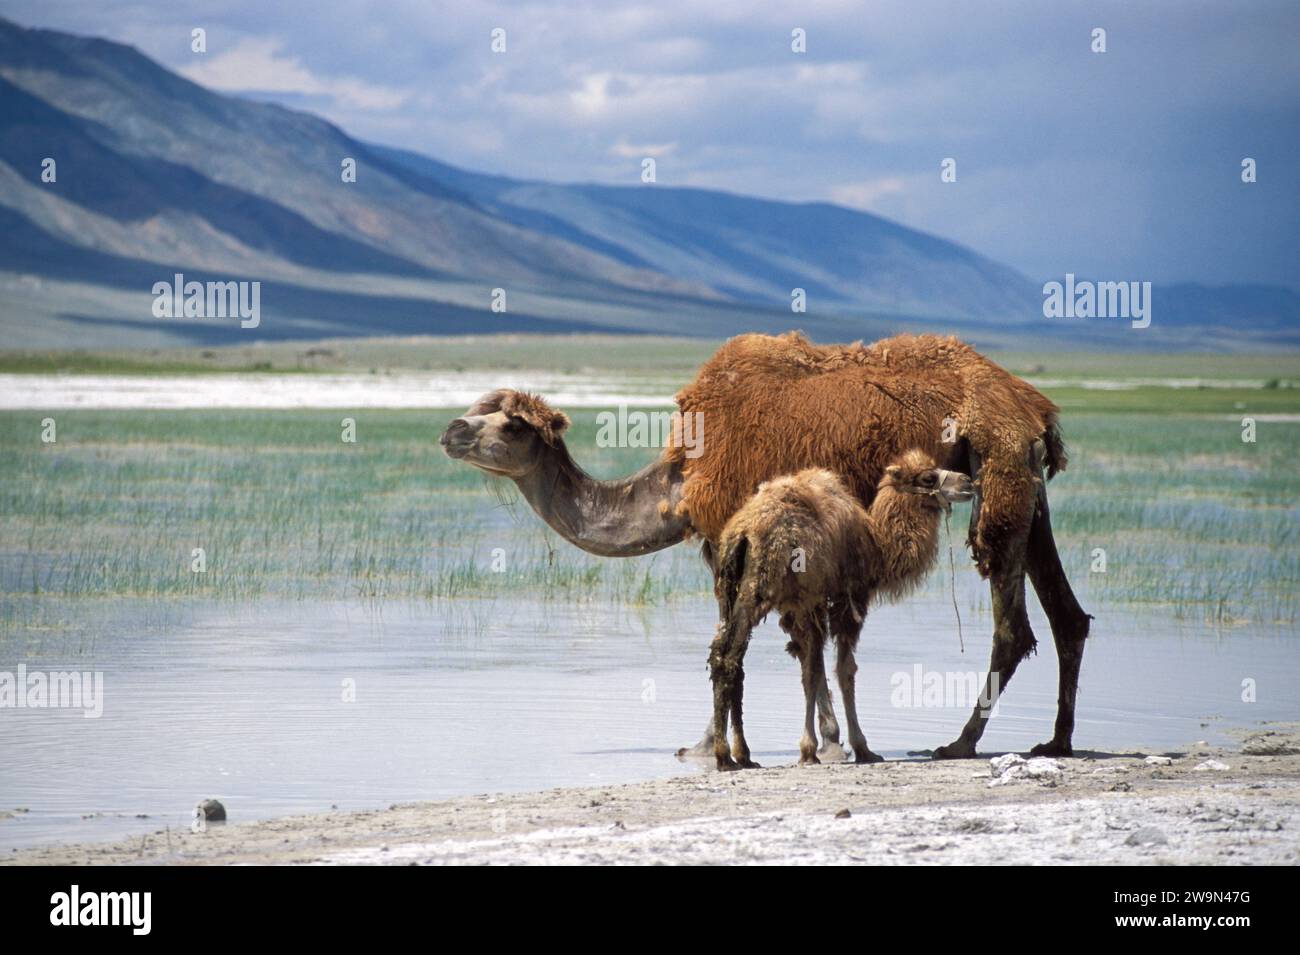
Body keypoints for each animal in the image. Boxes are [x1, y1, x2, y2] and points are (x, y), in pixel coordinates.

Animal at [707, 452, 972, 774]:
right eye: (928, 478)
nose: (967, 481)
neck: (876, 545)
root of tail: (742, 533)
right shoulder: (843, 599)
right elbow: (838, 669)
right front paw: (852, 748)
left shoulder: (804, 606)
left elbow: (813, 668)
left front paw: (815, 747)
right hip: (758, 588)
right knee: (729, 657)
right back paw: (724, 756)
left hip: (727, 590)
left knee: (727, 656)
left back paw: (742, 755)